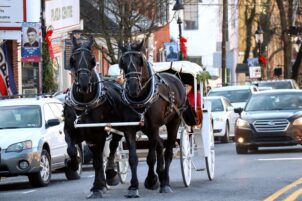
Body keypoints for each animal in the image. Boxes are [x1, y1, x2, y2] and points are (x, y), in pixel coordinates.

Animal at [64, 37, 140, 199]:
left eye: (92, 60)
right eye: (72, 59)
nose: (84, 83)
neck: (84, 104)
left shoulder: (98, 134)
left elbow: (98, 161)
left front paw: (98, 187)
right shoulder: (71, 130)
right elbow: (71, 149)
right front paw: (73, 164)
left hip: (118, 128)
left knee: (113, 148)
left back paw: (110, 174)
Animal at [118, 41, 188, 196]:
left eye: (140, 61)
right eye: (122, 63)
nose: (133, 88)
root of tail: (175, 77)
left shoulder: (155, 126)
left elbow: (150, 157)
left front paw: (151, 180)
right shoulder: (130, 128)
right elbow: (133, 158)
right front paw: (133, 187)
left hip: (173, 122)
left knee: (168, 151)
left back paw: (165, 182)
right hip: (147, 129)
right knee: (160, 145)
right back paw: (160, 175)